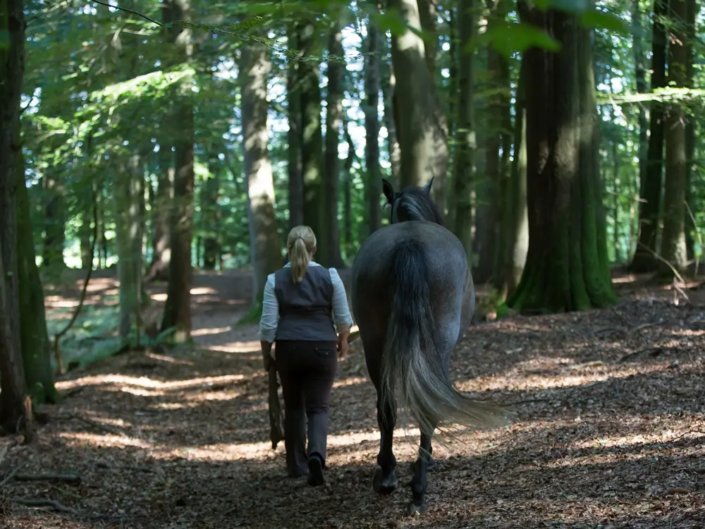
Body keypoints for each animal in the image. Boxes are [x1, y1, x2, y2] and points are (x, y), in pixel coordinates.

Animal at [350, 176, 504, 512]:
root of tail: (410, 243)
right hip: (438, 345)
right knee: (427, 406)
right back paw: (416, 486)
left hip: (374, 344)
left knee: (388, 405)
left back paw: (389, 477)